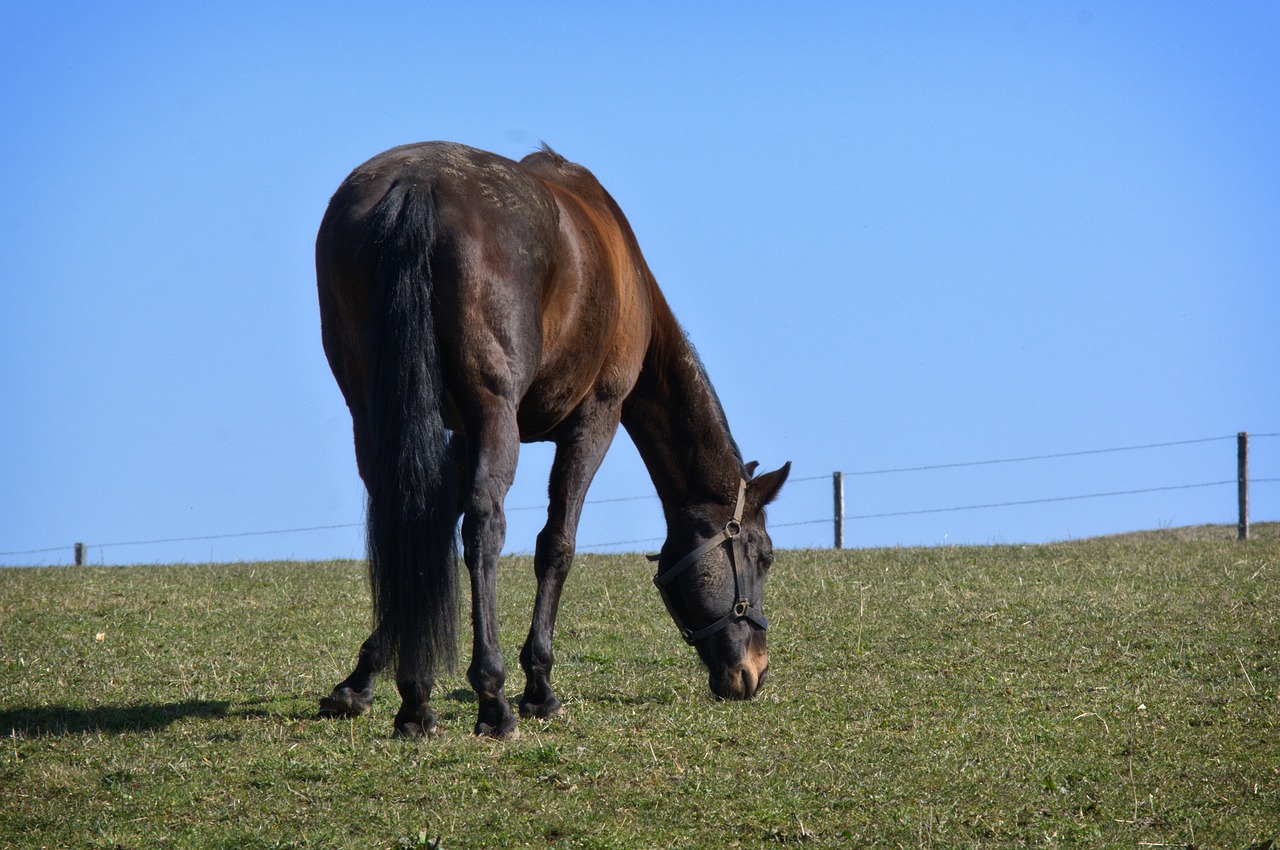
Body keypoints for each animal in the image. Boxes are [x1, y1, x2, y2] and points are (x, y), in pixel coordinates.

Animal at [313, 140, 783, 737]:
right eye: (763, 556)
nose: (755, 672)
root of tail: (416, 184)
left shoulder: (459, 435)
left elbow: (426, 531)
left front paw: (361, 680)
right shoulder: (594, 420)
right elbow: (556, 545)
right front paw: (538, 685)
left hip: (375, 408)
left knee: (401, 520)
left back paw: (416, 702)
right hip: (495, 414)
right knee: (484, 529)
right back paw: (492, 697)